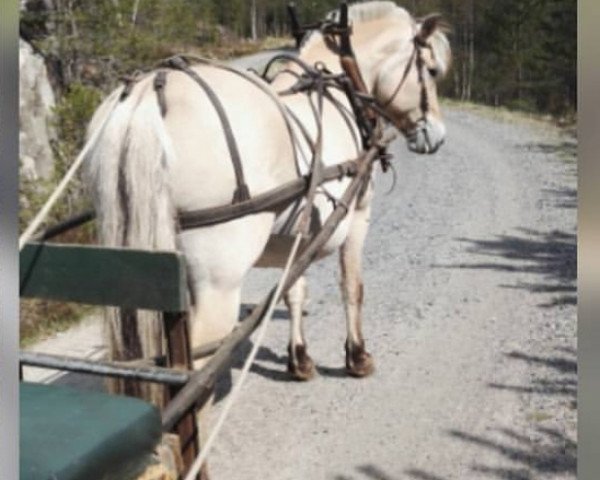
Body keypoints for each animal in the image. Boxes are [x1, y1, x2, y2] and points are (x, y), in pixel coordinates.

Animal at [84, 0, 450, 472]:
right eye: (432, 70)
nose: (436, 135)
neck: (338, 86)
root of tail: (152, 92)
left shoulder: (295, 233)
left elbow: (293, 292)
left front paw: (300, 360)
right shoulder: (357, 217)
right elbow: (352, 287)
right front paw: (357, 357)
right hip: (218, 283)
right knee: (195, 379)